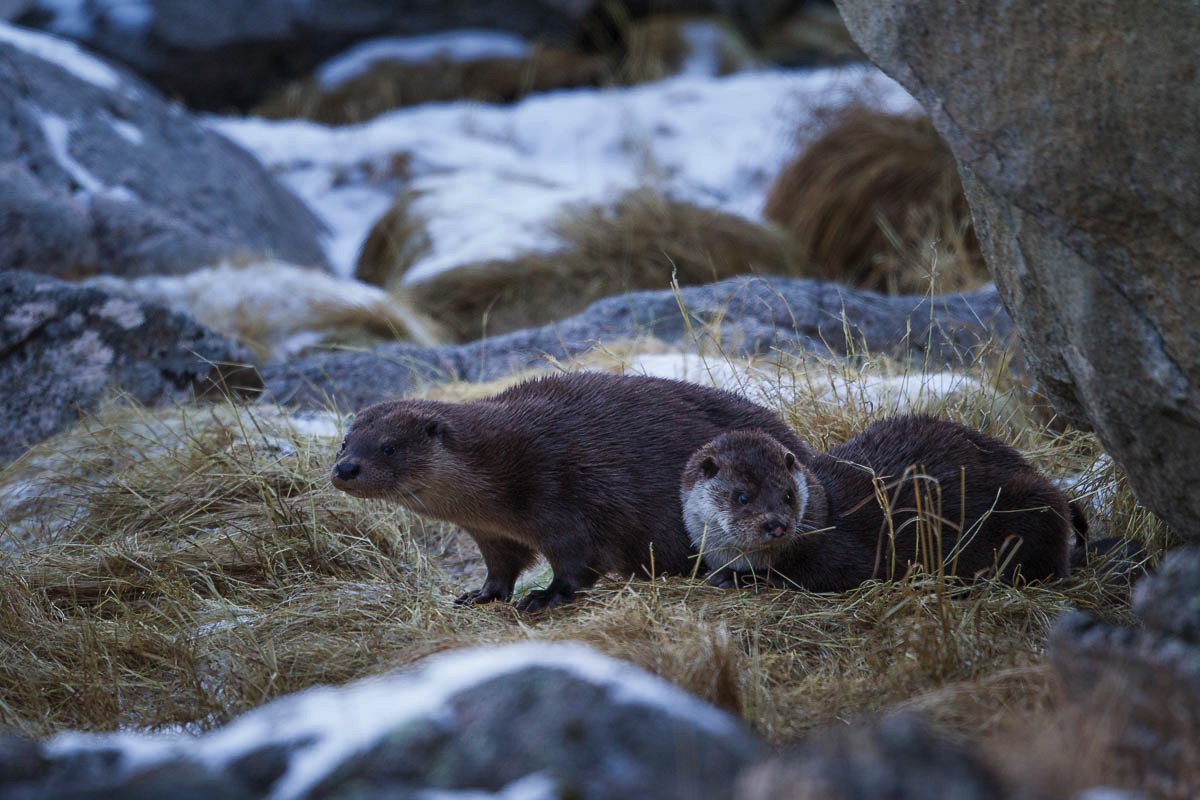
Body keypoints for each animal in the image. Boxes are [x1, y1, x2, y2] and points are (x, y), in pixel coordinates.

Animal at [333, 371, 811, 609]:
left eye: (388, 447)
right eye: (344, 441)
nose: (345, 468)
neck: (504, 462)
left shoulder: (564, 496)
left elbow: (577, 562)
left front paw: (544, 596)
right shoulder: (491, 532)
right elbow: (502, 565)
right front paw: (481, 595)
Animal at [681, 419, 1075, 594]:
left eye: (789, 496)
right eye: (742, 497)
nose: (776, 524)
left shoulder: (841, 554)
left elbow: (812, 575)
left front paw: (733, 577)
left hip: (1031, 503)